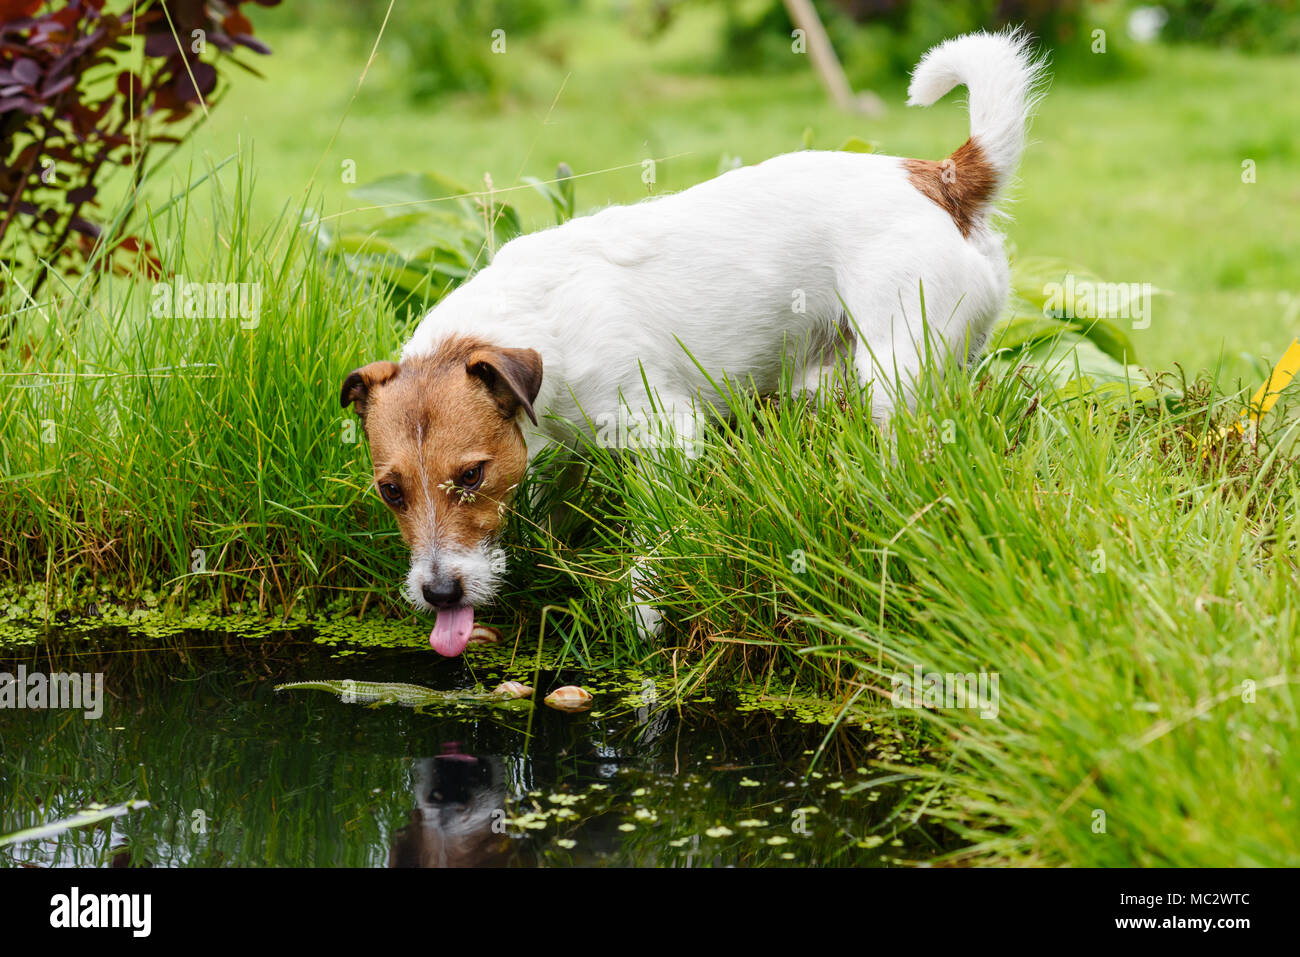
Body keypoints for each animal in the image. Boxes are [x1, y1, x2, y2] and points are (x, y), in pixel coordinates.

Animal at [338, 31, 1045, 657]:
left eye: (471, 475)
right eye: (391, 491)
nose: (439, 594)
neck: (530, 320)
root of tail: (940, 177)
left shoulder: (666, 432)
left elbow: (653, 536)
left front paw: (643, 613)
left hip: (893, 376)